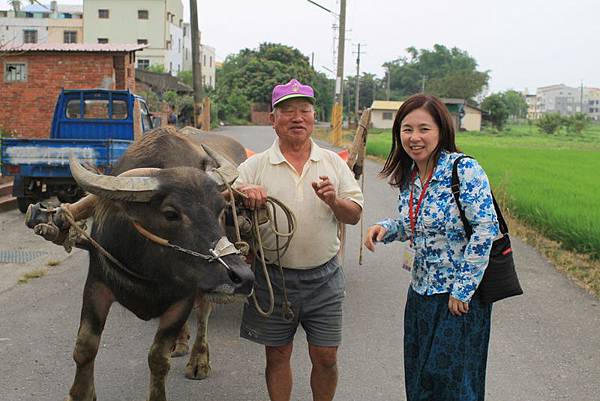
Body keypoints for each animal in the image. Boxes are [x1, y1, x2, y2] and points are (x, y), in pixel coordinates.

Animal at [62, 127, 254, 400]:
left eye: (222, 209)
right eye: (171, 213)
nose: (243, 277)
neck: (150, 270)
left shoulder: (183, 297)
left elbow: (158, 358)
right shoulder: (97, 284)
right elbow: (85, 346)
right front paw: (81, 393)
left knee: (204, 314)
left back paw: (198, 359)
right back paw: (181, 342)